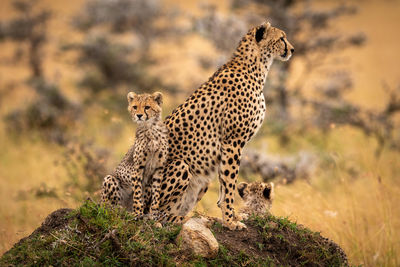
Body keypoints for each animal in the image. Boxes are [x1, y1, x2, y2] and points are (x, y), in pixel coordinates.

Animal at [157, 21, 294, 230]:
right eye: (281, 38)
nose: (292, 49)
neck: (255, 67)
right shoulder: (233, 141)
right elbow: (230, 182)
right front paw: (230, 221)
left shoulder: (226, 147)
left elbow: (224, 183)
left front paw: (231, 217)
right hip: (181, 166)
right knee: (158, 214)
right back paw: (186, 219)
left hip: (203, 177)